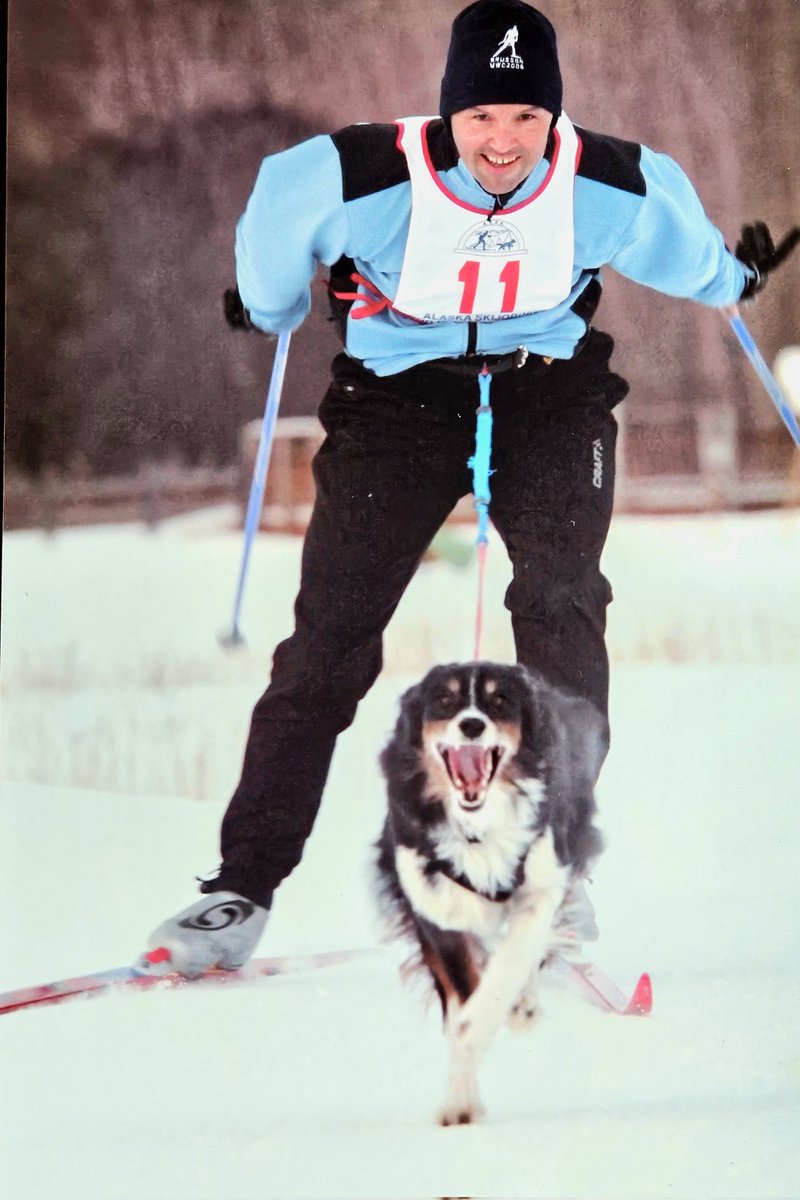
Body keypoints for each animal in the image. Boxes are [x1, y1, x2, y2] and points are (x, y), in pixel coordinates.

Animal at [376, 657, 606, 1123]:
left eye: (500, 702)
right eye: (444, 700)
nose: (471, 725)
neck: (477, 826)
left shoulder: (541, 880)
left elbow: (509, 965)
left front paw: (501, 1014)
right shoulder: (433, 904)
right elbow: (464, 987)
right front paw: (462, 1099)